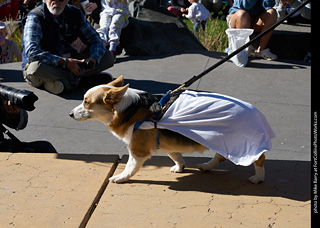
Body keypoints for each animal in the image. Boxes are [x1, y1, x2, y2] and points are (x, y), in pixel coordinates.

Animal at [70, 76, 268, 183]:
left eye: (86, 102)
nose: (70, 114)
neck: (128, 109)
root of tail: (257, 112)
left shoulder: (138, 151)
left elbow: (130, 167)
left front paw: (120, 178)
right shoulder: (168, 145)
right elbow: (177, 156)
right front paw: (180, 167)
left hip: (241, 144)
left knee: (259, 159)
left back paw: (258, 178)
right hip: (222, 142)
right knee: (220, 157)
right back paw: (206, 166)